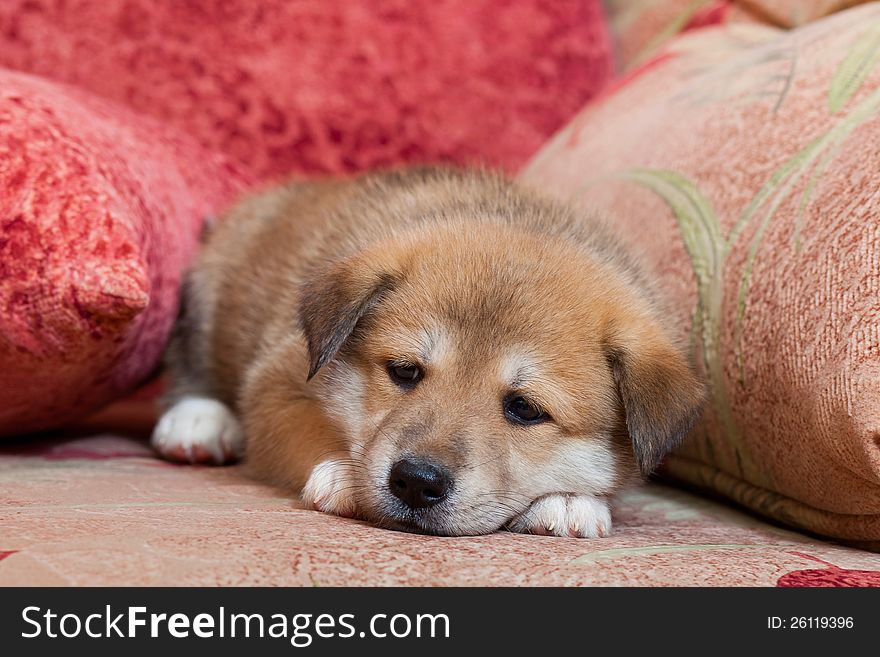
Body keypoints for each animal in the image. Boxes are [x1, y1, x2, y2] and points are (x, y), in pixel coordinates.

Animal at [150, 167, 700, 536]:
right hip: (209, 298)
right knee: (192, 369)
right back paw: (198, 422)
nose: (415, 482)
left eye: (524, 408)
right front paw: (343, 474)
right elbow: (304, 427)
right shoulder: (278, 382)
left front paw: (567, 501)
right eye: (404, 371)